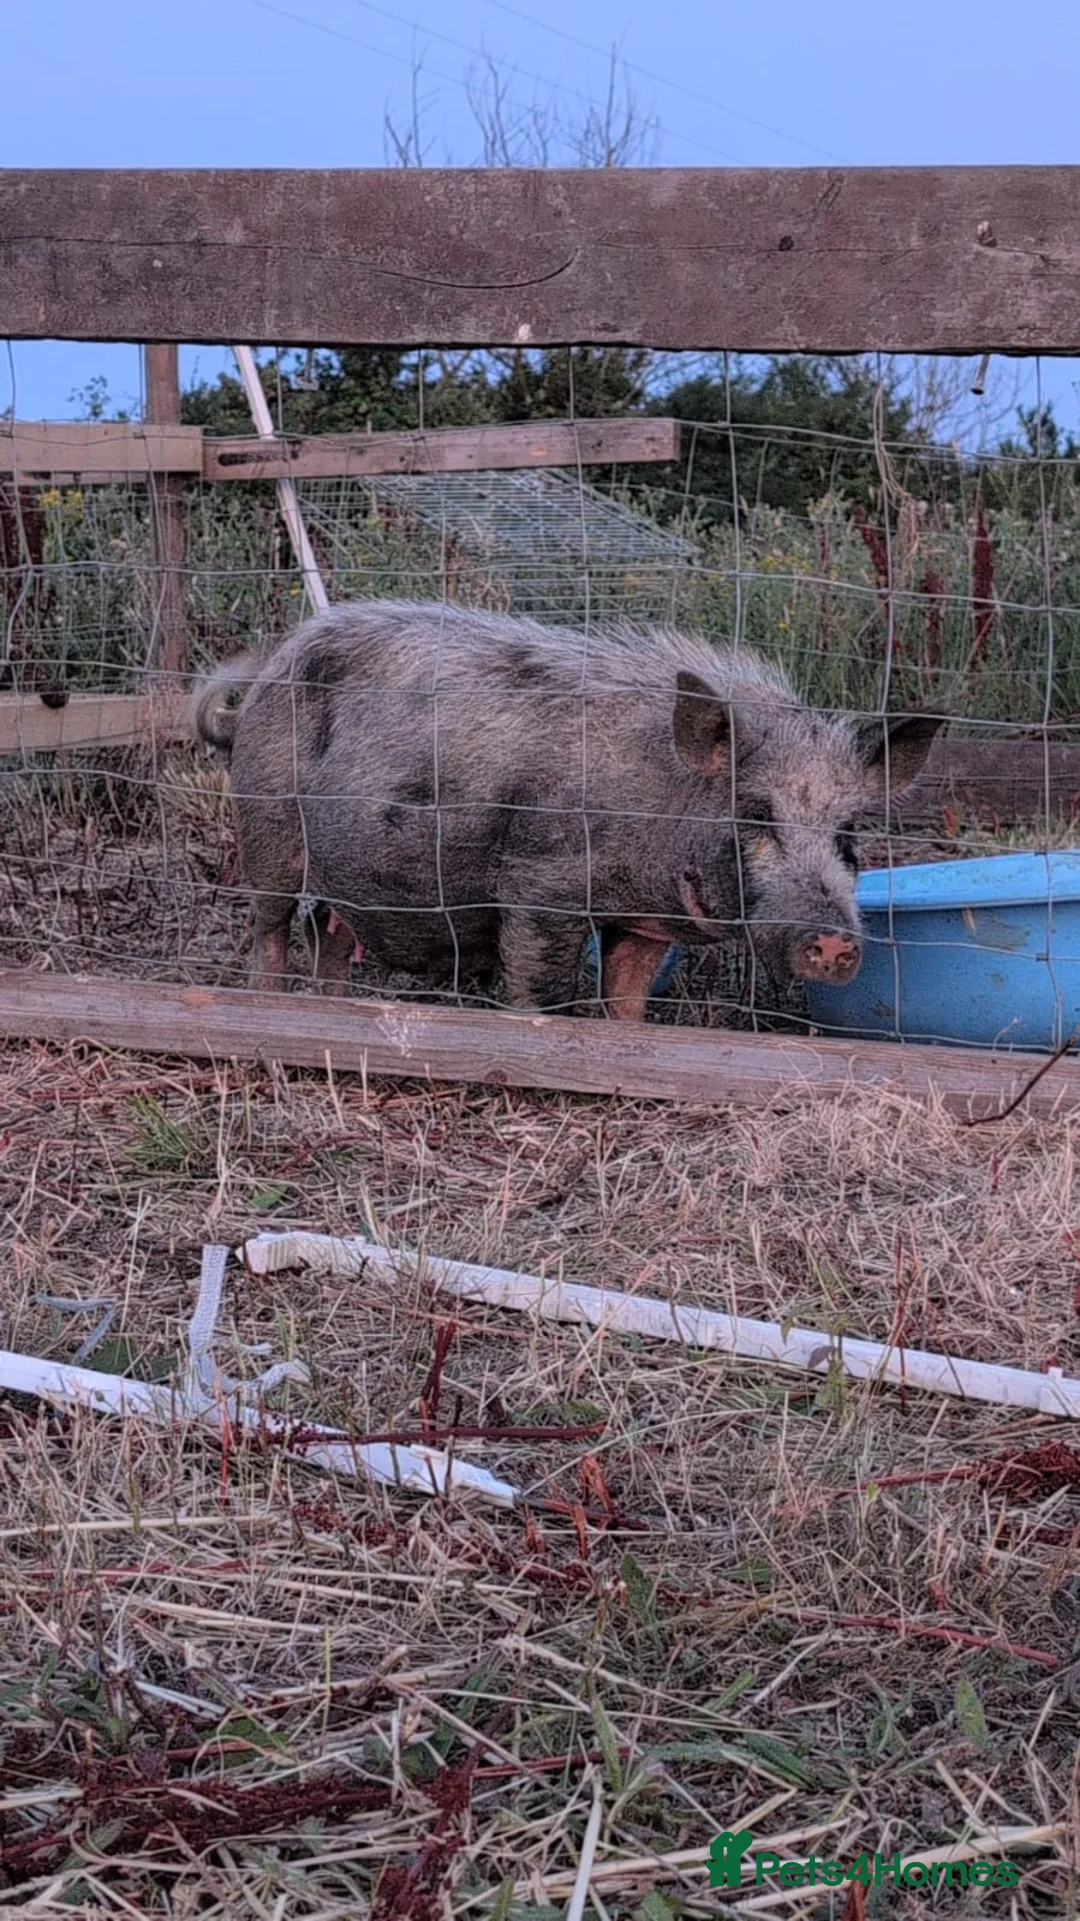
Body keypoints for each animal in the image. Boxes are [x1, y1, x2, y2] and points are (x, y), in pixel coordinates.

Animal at [192, 599, 943, 1021]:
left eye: (849, 832)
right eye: (756, 814)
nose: (836, 941)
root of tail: (273, 661)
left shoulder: (643, 921)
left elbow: (628, 1004)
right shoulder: (539, 884)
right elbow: (545, 987)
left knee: (327, 929)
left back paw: (335, 1007)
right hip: (267, 823)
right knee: (272, 926)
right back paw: (269, 1001)